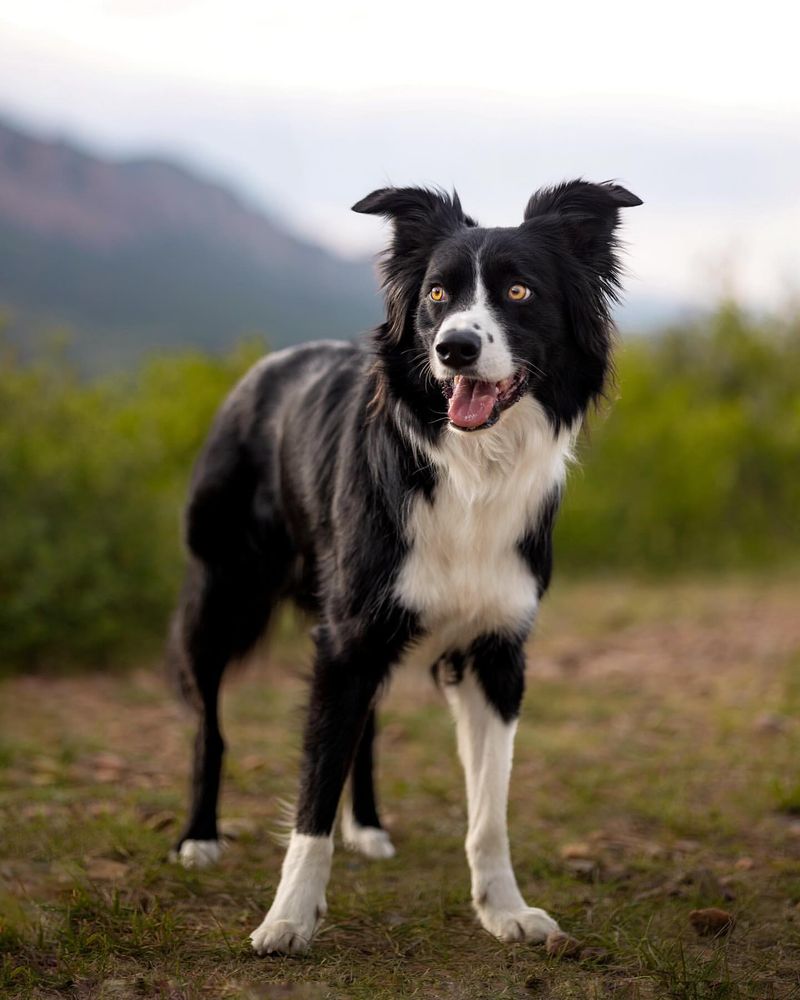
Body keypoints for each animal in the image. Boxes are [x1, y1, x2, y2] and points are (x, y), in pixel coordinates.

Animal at [166, 178, 640, 952]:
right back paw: (200, 837)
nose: (454, 349)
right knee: (211, 721)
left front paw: (504, 910)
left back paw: (368, 826)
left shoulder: (495, 653)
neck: (471, 471)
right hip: (223, 592)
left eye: (518, 290)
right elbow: (312, 794)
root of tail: (261, 370)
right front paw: (288, 918)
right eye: (438, 295)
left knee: (365, 732)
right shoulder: (346, 639)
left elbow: (489, 811)